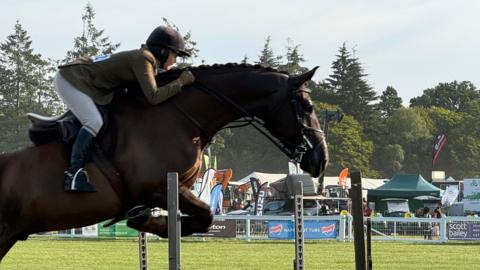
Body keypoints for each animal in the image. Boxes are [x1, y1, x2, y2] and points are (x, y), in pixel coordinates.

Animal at [0, 62, 328, 262]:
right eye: (307, 106)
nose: (320, 160)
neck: (180, 117)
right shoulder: (156, 187)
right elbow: (206, 214)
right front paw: (151, 222)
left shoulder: (176, 188)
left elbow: (203, 216)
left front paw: (147, 220)